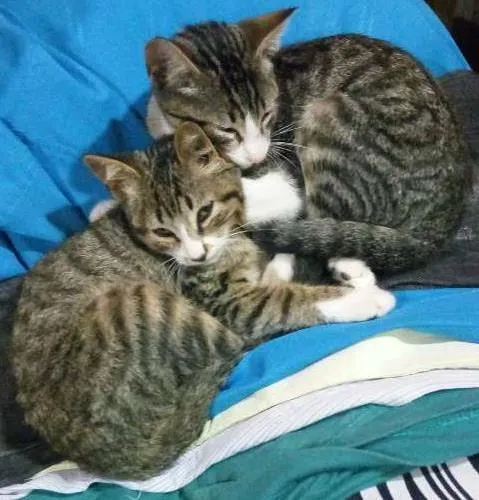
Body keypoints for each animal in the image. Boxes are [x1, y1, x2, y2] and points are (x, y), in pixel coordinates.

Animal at [11, 122, 395, 479]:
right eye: (163, 231)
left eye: (204, 212)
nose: (197, 255)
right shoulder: (231, 304)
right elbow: (280, 301)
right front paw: (361, 299)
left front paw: (350, 269)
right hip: (143, 306)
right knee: (236, 340)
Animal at [144, 8, 471, 283]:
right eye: (226, 129)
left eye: (268, 115)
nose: (257, 155)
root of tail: (445, 219)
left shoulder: (285, 178)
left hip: (328, 117)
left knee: (319, 232)